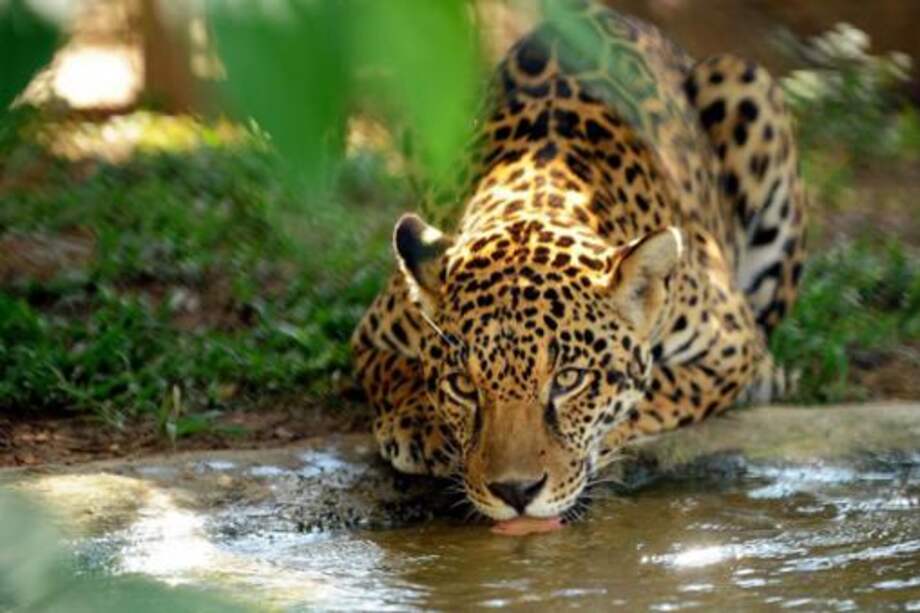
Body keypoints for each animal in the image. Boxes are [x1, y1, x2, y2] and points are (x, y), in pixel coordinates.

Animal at [351, 0, 806, 523]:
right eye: (464, 386)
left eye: (569, 380)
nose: (516, 492)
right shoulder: (371, 334)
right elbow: (390, 372)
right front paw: (421, 425)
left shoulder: (730, 348)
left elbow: (660, 389)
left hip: (745, 84)